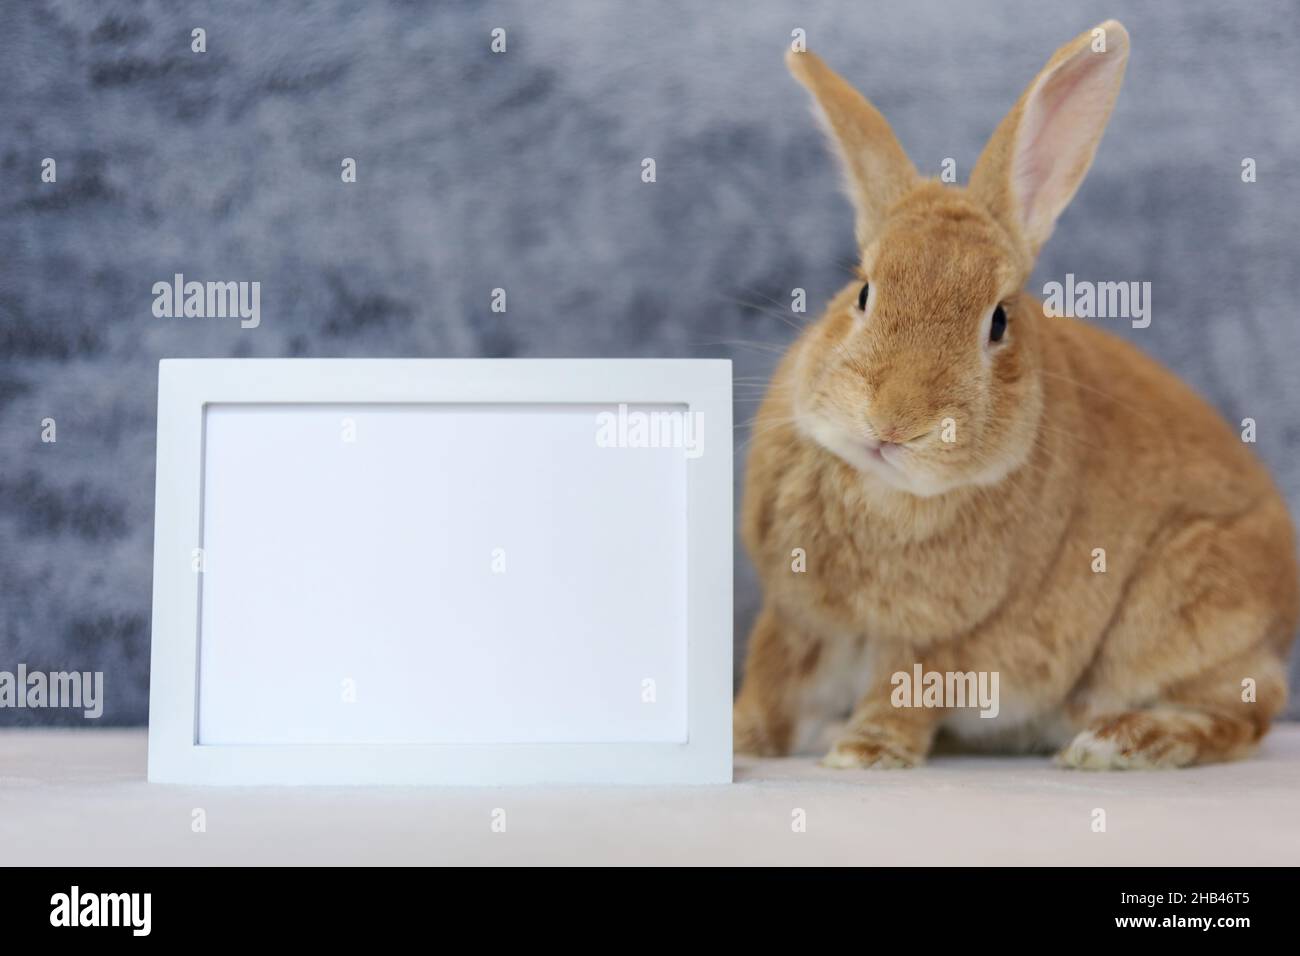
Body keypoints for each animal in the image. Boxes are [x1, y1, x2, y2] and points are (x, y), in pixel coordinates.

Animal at [734, 20, 1299, 770]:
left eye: (998, 321)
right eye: (862, 291)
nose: (893, 423)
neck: (884, 493)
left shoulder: (945, 641)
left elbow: (904, 690)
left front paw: (863, 753)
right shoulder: (796, 618)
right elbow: (768, 678)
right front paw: (740, 740)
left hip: (1189, 621)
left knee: (1246, 714)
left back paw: (1120, 742)